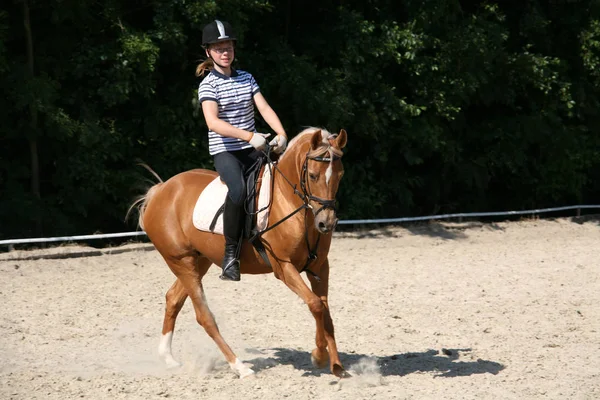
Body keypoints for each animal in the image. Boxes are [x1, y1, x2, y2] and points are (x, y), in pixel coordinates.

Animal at [131, 126, 346, 378]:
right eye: (312, 175)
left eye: (340, 175)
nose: (326, 223)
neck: (290, 203)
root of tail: (161, 190)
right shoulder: (284, 267)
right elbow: (315, 305)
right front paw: (319, 356)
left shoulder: (320, 267)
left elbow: (325, 311)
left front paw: (337, 365)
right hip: (181, 261)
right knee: (204, 316)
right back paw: (239, 366)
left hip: (199, 261)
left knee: (173, 298)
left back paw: (168, 358)